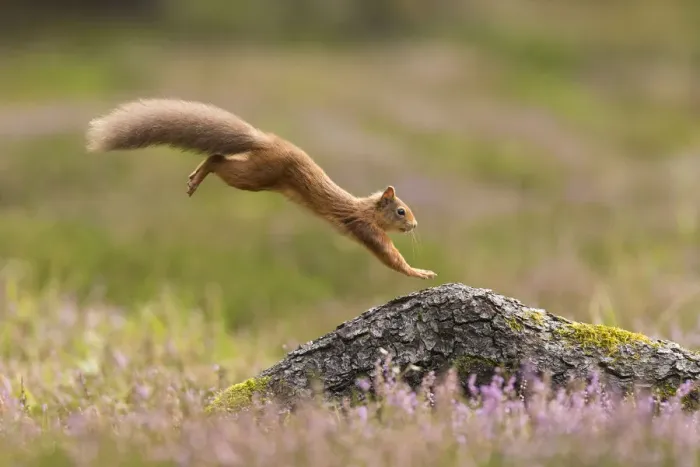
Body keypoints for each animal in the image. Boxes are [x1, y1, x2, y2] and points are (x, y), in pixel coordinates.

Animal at [85, 98, 437, 280]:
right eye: (401, 211)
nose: (415, 225)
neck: (367, 209)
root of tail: (266, 140)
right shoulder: (366, 229)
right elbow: (392, 259)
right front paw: (420, 273)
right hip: (254, 177)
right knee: (217, 159)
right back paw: (198, 177)